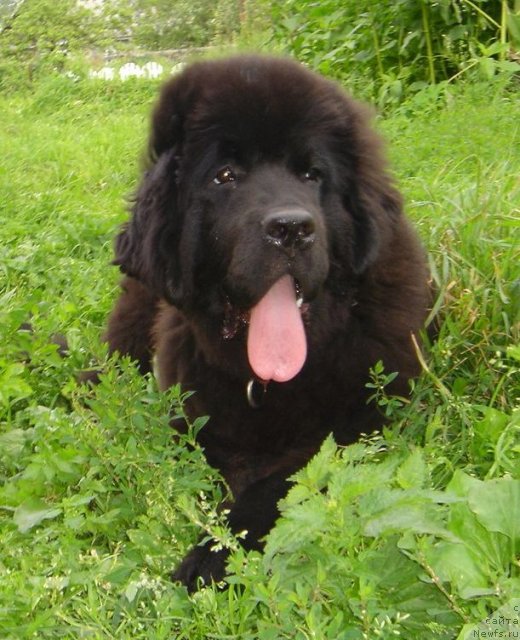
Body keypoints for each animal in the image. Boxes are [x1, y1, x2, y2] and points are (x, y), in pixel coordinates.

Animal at [99, 55, 432, 592]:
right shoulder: (191, 414)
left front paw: (211, 556)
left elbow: (280, 482)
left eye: (312, 173)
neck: (269, 378)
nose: (291, 228)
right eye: (225, 176)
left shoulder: (360, 424)